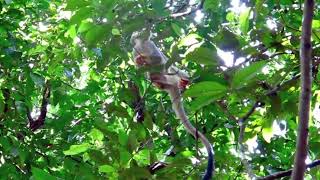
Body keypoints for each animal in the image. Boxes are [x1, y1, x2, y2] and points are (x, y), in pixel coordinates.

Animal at [130, 30, 215, 179]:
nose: (146, 31)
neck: (142, 45)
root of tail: (171, 86)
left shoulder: (150, 45)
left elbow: (158, 59)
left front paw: (145, 59)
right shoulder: (135, 51)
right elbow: (140, 68)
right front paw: (140, 62)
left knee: (168, 67)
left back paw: (183, 80)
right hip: (165, 83)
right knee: (157, 74)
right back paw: (161, 81)